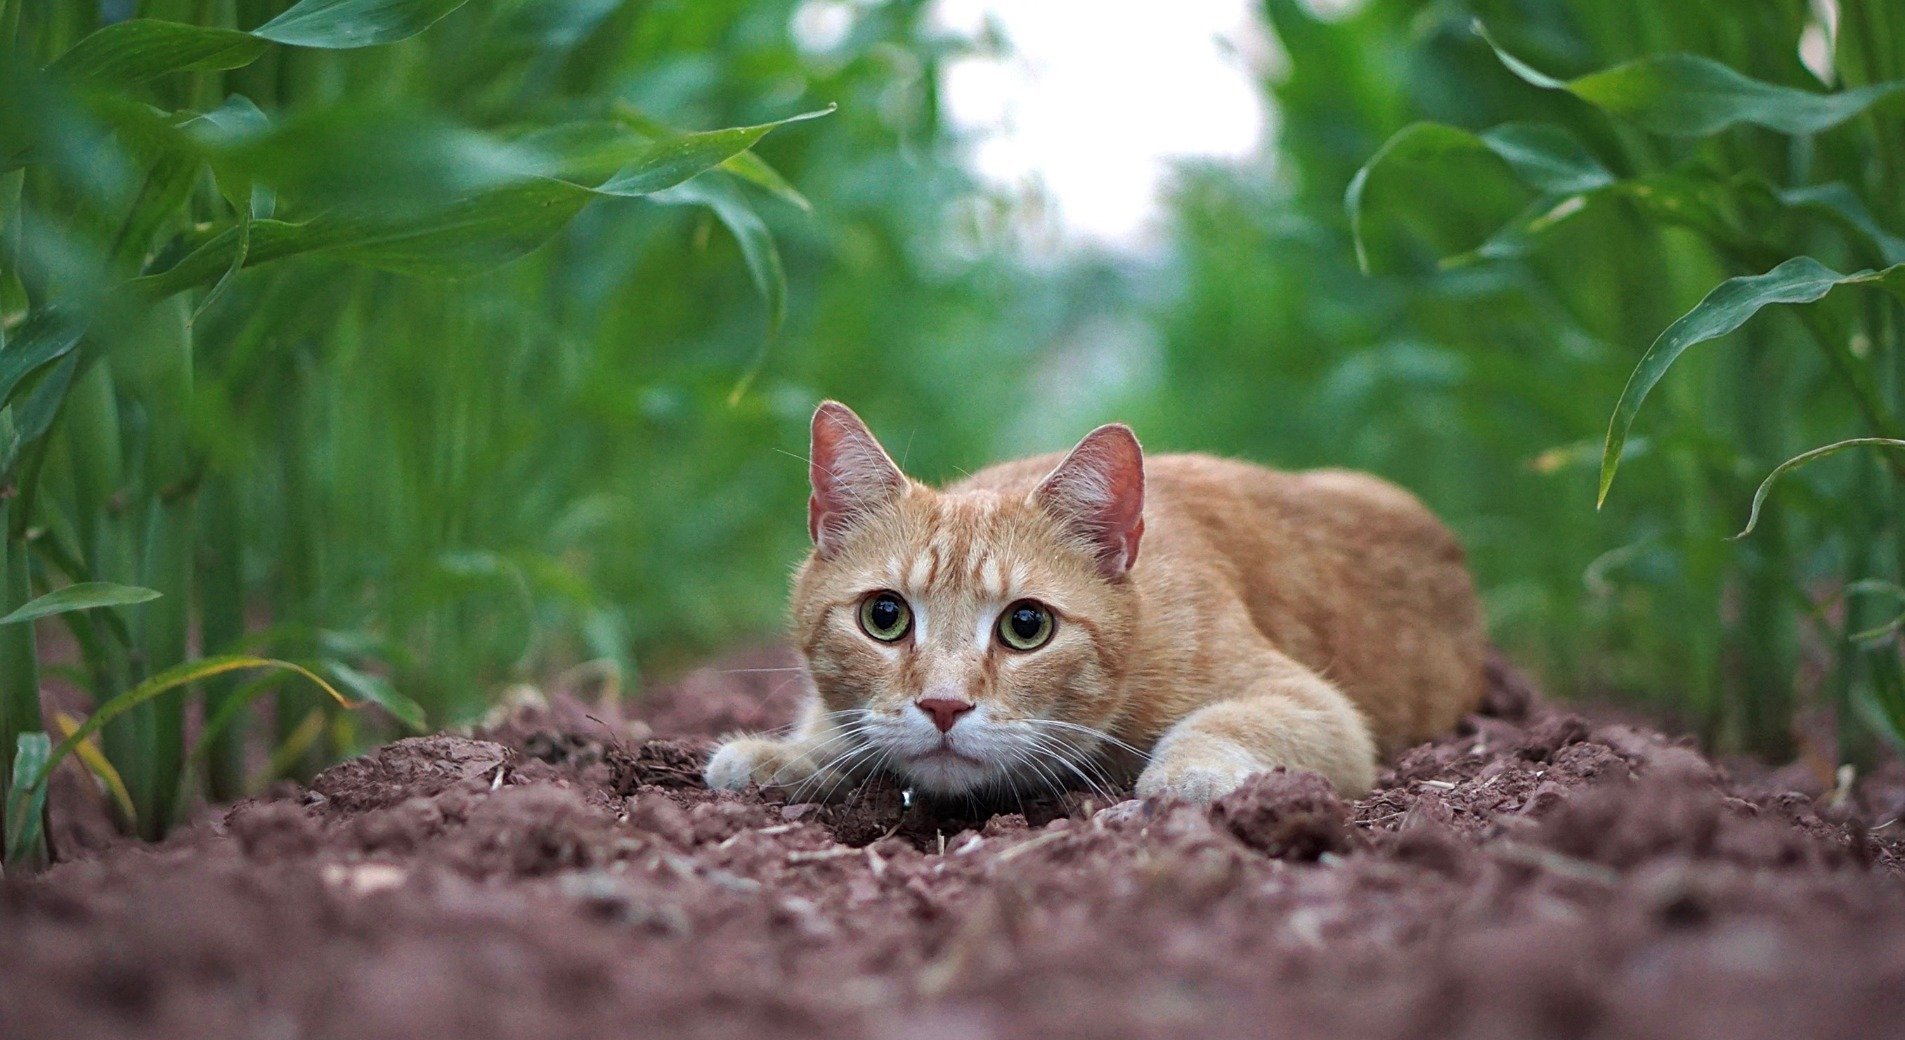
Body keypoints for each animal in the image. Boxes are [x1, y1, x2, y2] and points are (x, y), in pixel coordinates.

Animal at [704, 401, 1485, 800]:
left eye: (1026, 626)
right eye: (884, 616)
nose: (944, 706)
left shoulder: (1319, 710)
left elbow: (1225, 721)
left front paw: (1185, 773)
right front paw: (786, 755)